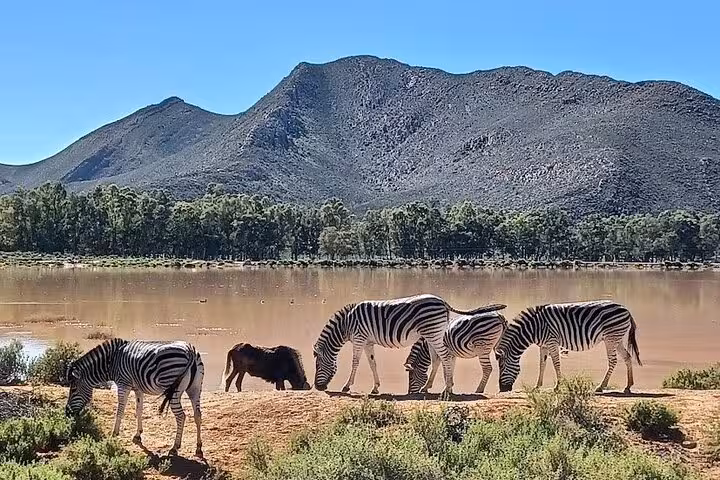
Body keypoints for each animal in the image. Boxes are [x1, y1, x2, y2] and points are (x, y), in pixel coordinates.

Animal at [64, 338, 205, 458]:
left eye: (73, 389)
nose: (67, 412)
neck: (112, 361)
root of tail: (190, 350)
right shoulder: (138, 389)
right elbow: (139, 410)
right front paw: (138, 435)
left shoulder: (123, 385)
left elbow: (120, 411)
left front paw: (114, 433)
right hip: (195, 388)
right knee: (197, 415)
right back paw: (198, 448)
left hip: (174, 388)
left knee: (181, 416)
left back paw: (175, 447)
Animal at [312, 293, 506, 395]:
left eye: (318, 365)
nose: (318, 388)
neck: (347, 323)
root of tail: (442, 301)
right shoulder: (368, 342)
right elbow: (372, 363)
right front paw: (375, 387)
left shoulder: (359, 338)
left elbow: (355, 362)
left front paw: (346, 386)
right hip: (433, 334)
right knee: (438, 359)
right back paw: (431, 387)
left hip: (433, 332)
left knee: (445, 357)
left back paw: (448, 388)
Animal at [494, 300, 642, 394]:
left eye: (502, 367)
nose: (502, 389)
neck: (533, 329)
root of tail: (626, 310)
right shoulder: (543, 345)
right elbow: (542, 365)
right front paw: (537, 386)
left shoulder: (552, 341)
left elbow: (556, 364)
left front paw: (558, 386)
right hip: (617, 339)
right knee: (627, 357)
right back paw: (628, 386)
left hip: (611, 338)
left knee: (613, 361)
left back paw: (601, 386)